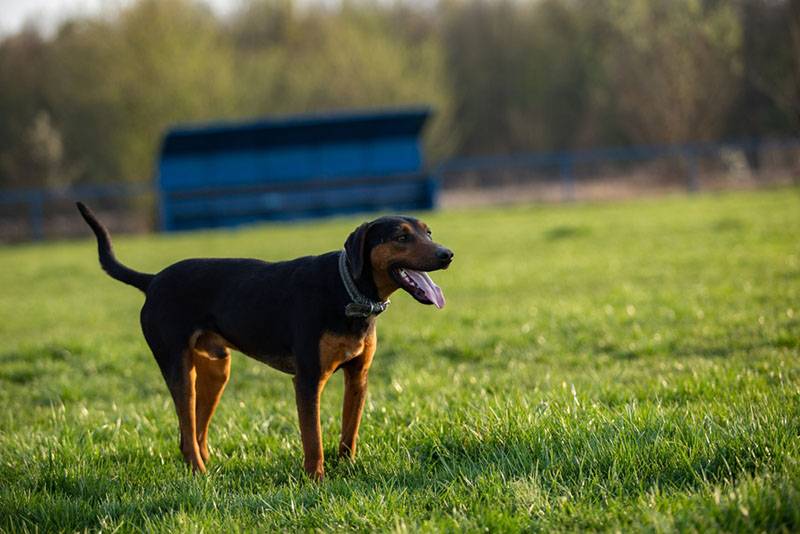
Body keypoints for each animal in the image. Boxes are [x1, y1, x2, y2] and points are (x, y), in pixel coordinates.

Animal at [77, 204, 454, 482]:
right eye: (400, 237)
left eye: (428, 232)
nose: (447, 254)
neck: (349, 292)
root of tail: (153, 281)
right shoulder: (307, 380)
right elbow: (313, 438)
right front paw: (315, 480)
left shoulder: (357, 376)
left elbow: (350, 432)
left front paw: (347, 469)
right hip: (179, 370)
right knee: (186, 432)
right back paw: (200, 473)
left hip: (216, 369)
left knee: (194, 431)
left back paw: (208, 466)